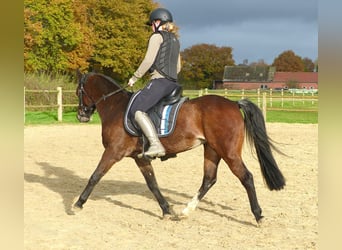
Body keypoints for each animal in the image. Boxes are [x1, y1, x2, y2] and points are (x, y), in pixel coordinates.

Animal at [75, 71, 286, 224]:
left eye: (79, 92)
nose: (81, 115)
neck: (115, 106)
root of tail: (233, 103)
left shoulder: (113, 152)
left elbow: (95, 176)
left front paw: (78, 203)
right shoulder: (140, 157)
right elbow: (152, 184)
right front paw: (167, 210)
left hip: (229, 152)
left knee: (246, 177)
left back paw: (258, 215)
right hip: (212, 150)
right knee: (209, 179)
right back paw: (186, 211)